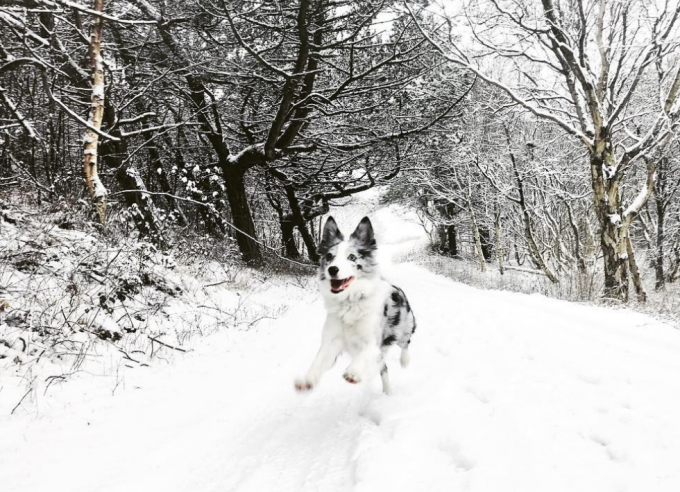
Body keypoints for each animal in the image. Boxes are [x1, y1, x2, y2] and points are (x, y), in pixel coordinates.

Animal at [294, 217, 418, 394]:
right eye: (329, 256)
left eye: (352, 257)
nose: (332, 269)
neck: (349, 302)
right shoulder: (331, 340)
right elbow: (319, 360)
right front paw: (307, 379)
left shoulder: (373, 342)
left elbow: (364, 355)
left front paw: (353, 372)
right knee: (384, 370)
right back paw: (387, 392)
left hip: (403, 329)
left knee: (406, 343)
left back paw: (405, 360)